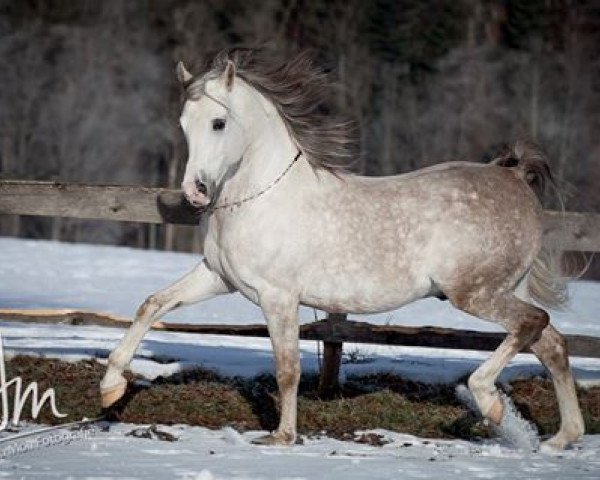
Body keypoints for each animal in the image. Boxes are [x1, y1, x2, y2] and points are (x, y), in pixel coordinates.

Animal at [101, 48, 584, 450]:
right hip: (502, 290)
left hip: (475, 293)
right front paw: (110, 388)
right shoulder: (219, 278)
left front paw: (282, 436)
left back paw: (490, 402)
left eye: (219, 123)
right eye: (184, 124)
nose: (195, 192)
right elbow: (153, 305)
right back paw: (561, 439)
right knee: (551, 343)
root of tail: (514, 178)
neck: (259, 198)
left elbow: (288, 368)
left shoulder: (278, 297)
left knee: (533, 325)